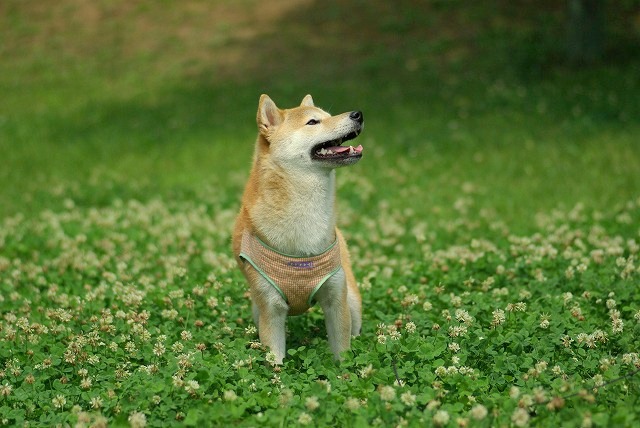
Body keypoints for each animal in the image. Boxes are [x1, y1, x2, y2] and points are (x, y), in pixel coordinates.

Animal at [232, 94, 364, 364]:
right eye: (313, 122)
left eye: (327, 116)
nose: (358, 114)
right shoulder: (270, 309)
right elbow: (275, 361)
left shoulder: (336, 300)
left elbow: (343, 353)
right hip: (257, 309)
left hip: (352, 301)